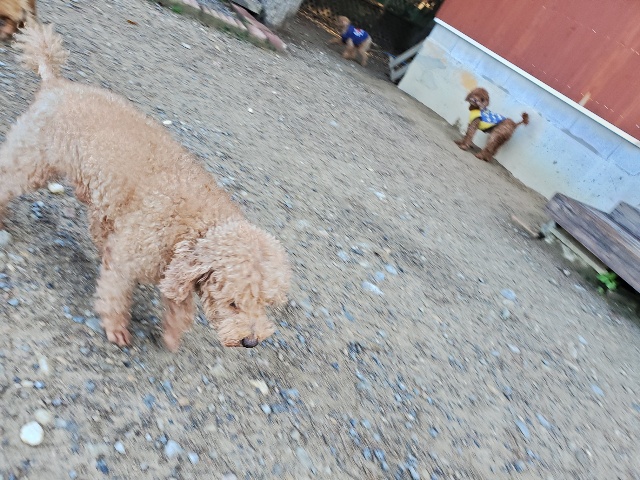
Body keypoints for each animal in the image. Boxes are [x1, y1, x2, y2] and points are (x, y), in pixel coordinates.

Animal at [0, 23, 291, 352]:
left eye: (265, 303)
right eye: (232, 303)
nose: (251, 341)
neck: (198, 226)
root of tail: (56, 83)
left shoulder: (175, 271)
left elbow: (180, 306)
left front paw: (172, 336)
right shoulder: (127, 259)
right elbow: (115, 294)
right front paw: (117, 329)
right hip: (34, 160)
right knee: (7, 179)